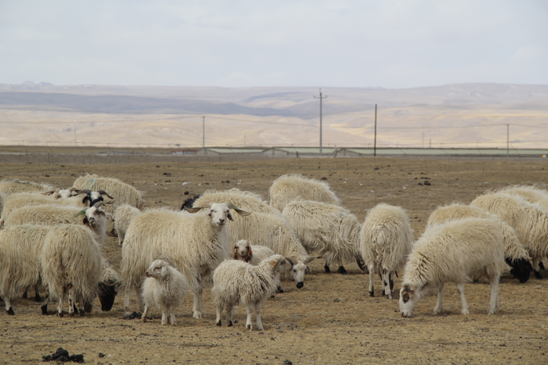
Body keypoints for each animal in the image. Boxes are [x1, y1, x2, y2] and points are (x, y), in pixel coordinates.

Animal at [121, 200, 250, 318]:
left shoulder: (201, 268)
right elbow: (196, 289)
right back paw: (127, 309)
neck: (205, 228)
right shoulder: (191, 267)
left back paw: (142, 307)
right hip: (133, 259)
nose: (221, 220)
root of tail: (137, 218)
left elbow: (201, 290)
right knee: (129, 284)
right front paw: (197, 312)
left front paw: (201, 311)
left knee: (137, 284)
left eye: (227, 211)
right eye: (213, 210)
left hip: (142, 263)